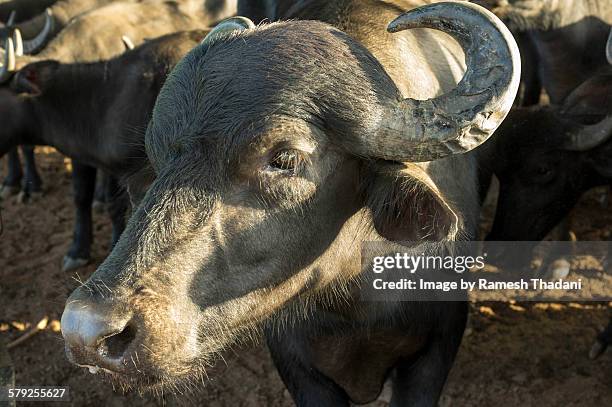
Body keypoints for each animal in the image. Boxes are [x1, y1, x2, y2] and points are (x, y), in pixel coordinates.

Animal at [61, 1, 520, 406]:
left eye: (284, 158)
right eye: (158, 155)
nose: (86, 331)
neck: (356, 301)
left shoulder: (437, 348)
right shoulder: (295, 362)